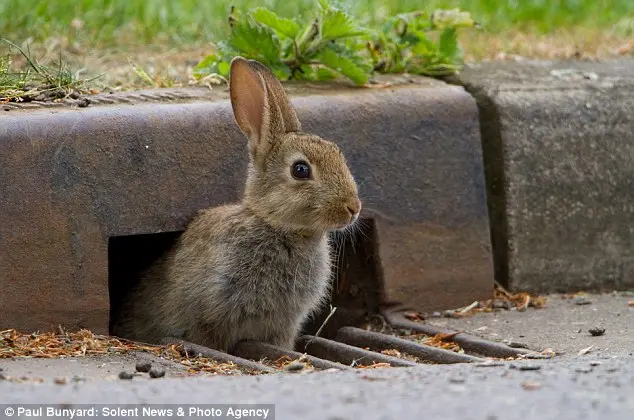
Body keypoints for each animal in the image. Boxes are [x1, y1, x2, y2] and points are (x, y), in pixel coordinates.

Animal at [111, 54, 362, 352]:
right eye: (300, 170)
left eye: (338, 153)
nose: (353, 208)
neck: (277, 226)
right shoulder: (211, 316)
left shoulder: (283, 327)